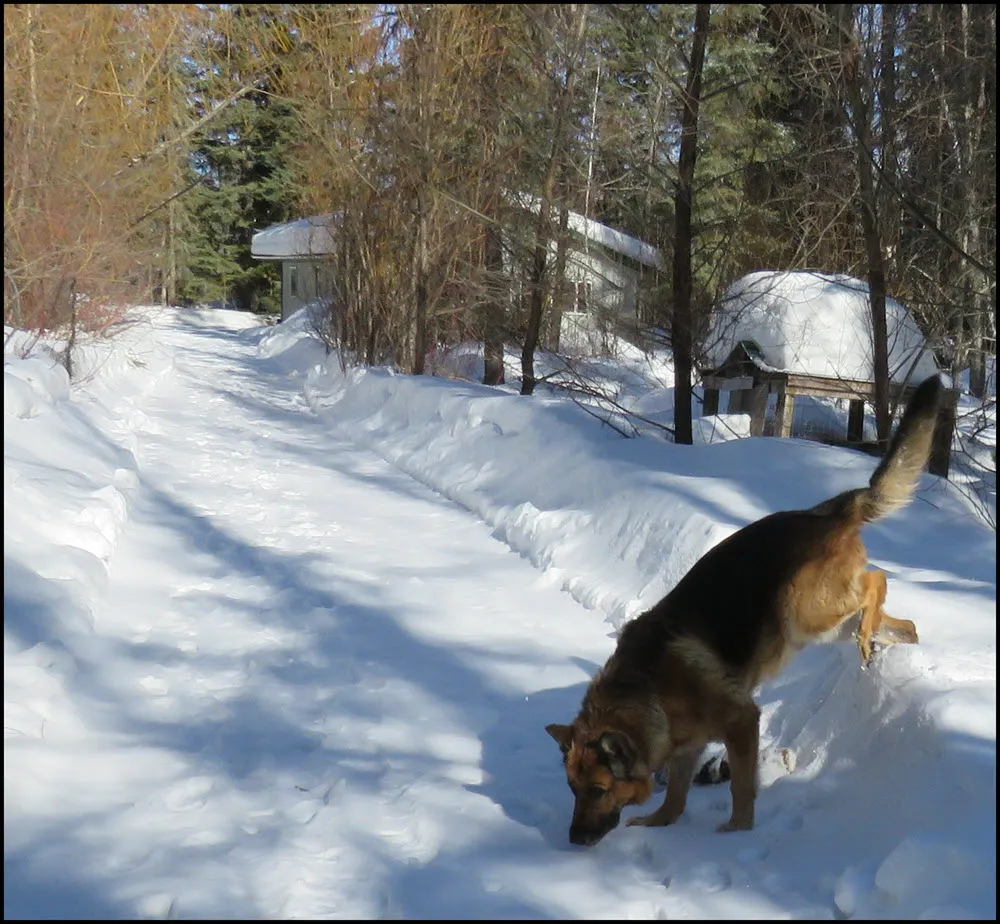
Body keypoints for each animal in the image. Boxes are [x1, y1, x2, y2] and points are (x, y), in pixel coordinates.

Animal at [544, 374, 940, 844]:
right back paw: (883, 643)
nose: (574, 840)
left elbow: (741, 785)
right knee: (905, 622)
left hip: (805, 611)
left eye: (599, 789)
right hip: (826, 623)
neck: (647, 686)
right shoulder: (687, 745)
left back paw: (871, 635)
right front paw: (660, 823)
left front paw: (737, 830)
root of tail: (826, 512)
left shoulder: (742, 721)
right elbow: (675, 794)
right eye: (572, 789)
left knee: (877, 582)